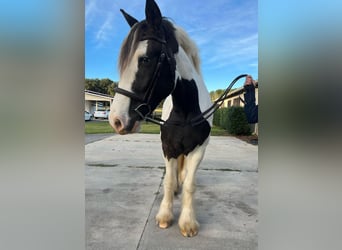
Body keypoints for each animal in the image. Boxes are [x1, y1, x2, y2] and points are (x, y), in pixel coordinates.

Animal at [108, 0, 212, 237]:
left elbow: (190, 184)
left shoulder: (198, 149)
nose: (116, 120)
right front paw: (165, 216)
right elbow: (168, 181)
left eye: (145, 59)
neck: (185, 111)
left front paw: (188, 222)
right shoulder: (168, 147)